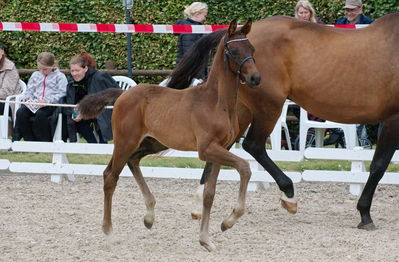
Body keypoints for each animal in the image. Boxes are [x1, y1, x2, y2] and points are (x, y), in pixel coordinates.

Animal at [77, 19, 262, 251]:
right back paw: (109, 232)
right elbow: (245, 167)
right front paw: (228, 222)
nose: (255, 78)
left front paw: (206, 240)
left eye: (252, 49)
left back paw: (149, 216)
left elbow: (209, 194)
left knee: (133, 161)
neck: (216, 102)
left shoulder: (221, 149)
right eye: (235, 51)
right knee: (110, 176)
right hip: (125, 142)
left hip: (152, 143)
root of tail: (123, 94)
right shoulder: (207, 149)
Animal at [168, 12, 399, 229]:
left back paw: (199, 206)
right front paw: (365, 213)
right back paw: (289, 195)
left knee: (220, 147)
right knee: (253, 145)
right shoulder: (392, 119)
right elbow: (379, 165)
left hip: (241, 109)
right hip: (268, 107)